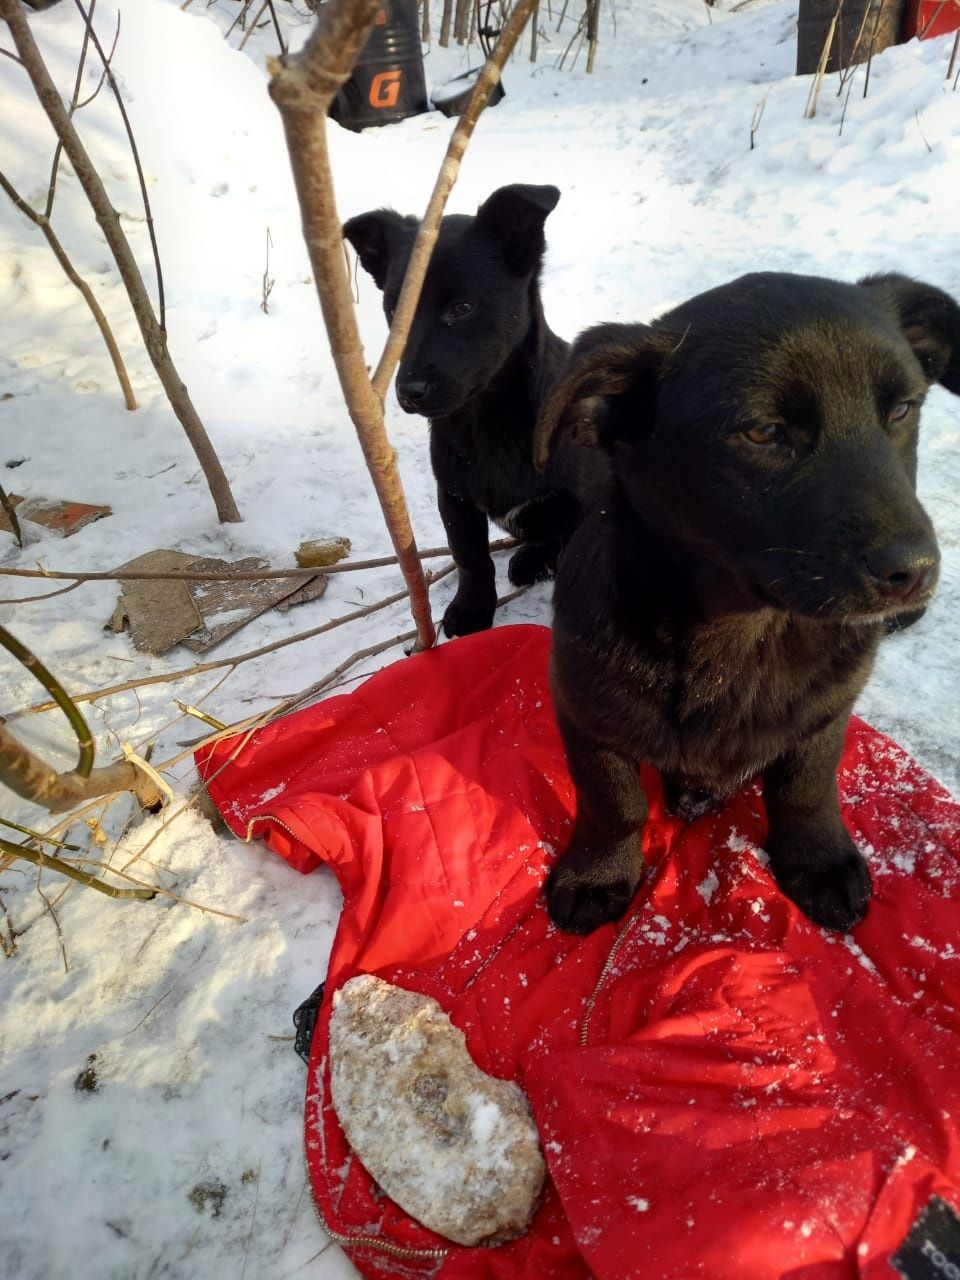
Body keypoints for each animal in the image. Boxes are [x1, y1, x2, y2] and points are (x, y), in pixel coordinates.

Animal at [535, 275, 960, 942]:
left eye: (900, 410)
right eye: (763, 432)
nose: (914, 571)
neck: (742, 630)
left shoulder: (826, 713)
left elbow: (806, 788)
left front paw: (817, 859)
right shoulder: (583, 710)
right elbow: (613, 802)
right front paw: (597, 875)